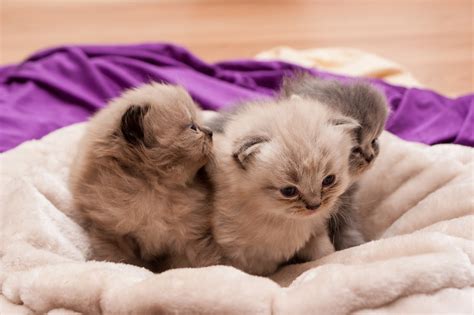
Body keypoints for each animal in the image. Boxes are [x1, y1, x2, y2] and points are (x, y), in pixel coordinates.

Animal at [69, 82, 221, 272]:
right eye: (192, 127)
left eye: (200, 124)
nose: (210, 132)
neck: (153, 188)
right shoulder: (112, 233)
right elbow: (119, 260)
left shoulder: (189, 238)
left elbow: (198, 263)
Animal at [209, 97, 358, 276]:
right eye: (289, 191)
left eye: (328, 180)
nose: (314, 206)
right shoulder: (234, 254)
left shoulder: (315, 231)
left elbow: (324, 252)